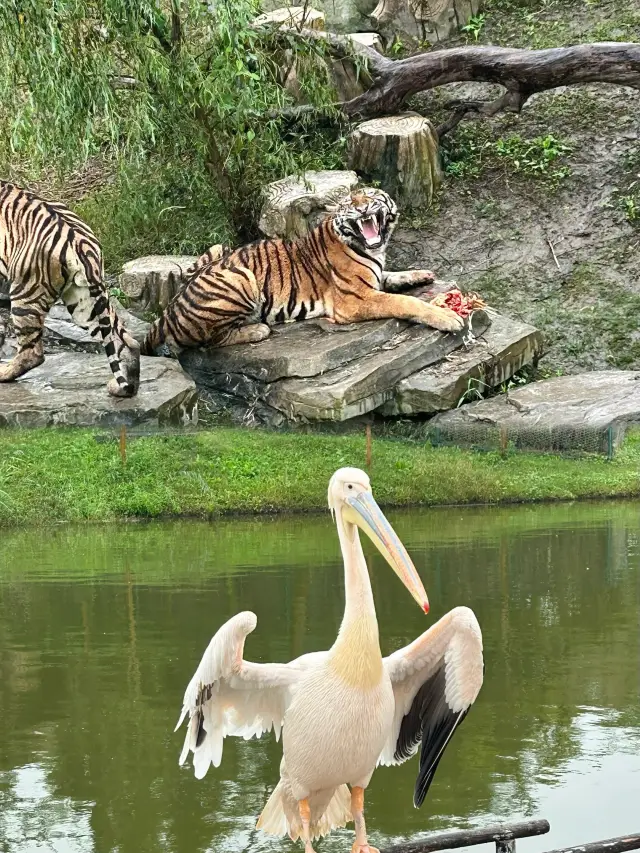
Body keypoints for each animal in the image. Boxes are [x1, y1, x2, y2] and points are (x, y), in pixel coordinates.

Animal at [0, 179, 141, 396]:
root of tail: (82, 242)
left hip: (26, 292)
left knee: (33, 353)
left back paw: (3, 373)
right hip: (85, 301)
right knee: (127, 341)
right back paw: (122, 388)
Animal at [140, 186, 462, 356]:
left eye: (370, 196)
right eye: (350, 202)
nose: (360, 208)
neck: (372, 246)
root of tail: (164, 315)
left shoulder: (373, 279)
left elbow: (392, 276)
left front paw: (421, 274)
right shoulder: (354, 300)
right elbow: (404, 302)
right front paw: (448, 318)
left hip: (220, 249)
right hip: (239, 277)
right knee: (208, 342)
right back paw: (257, 329)